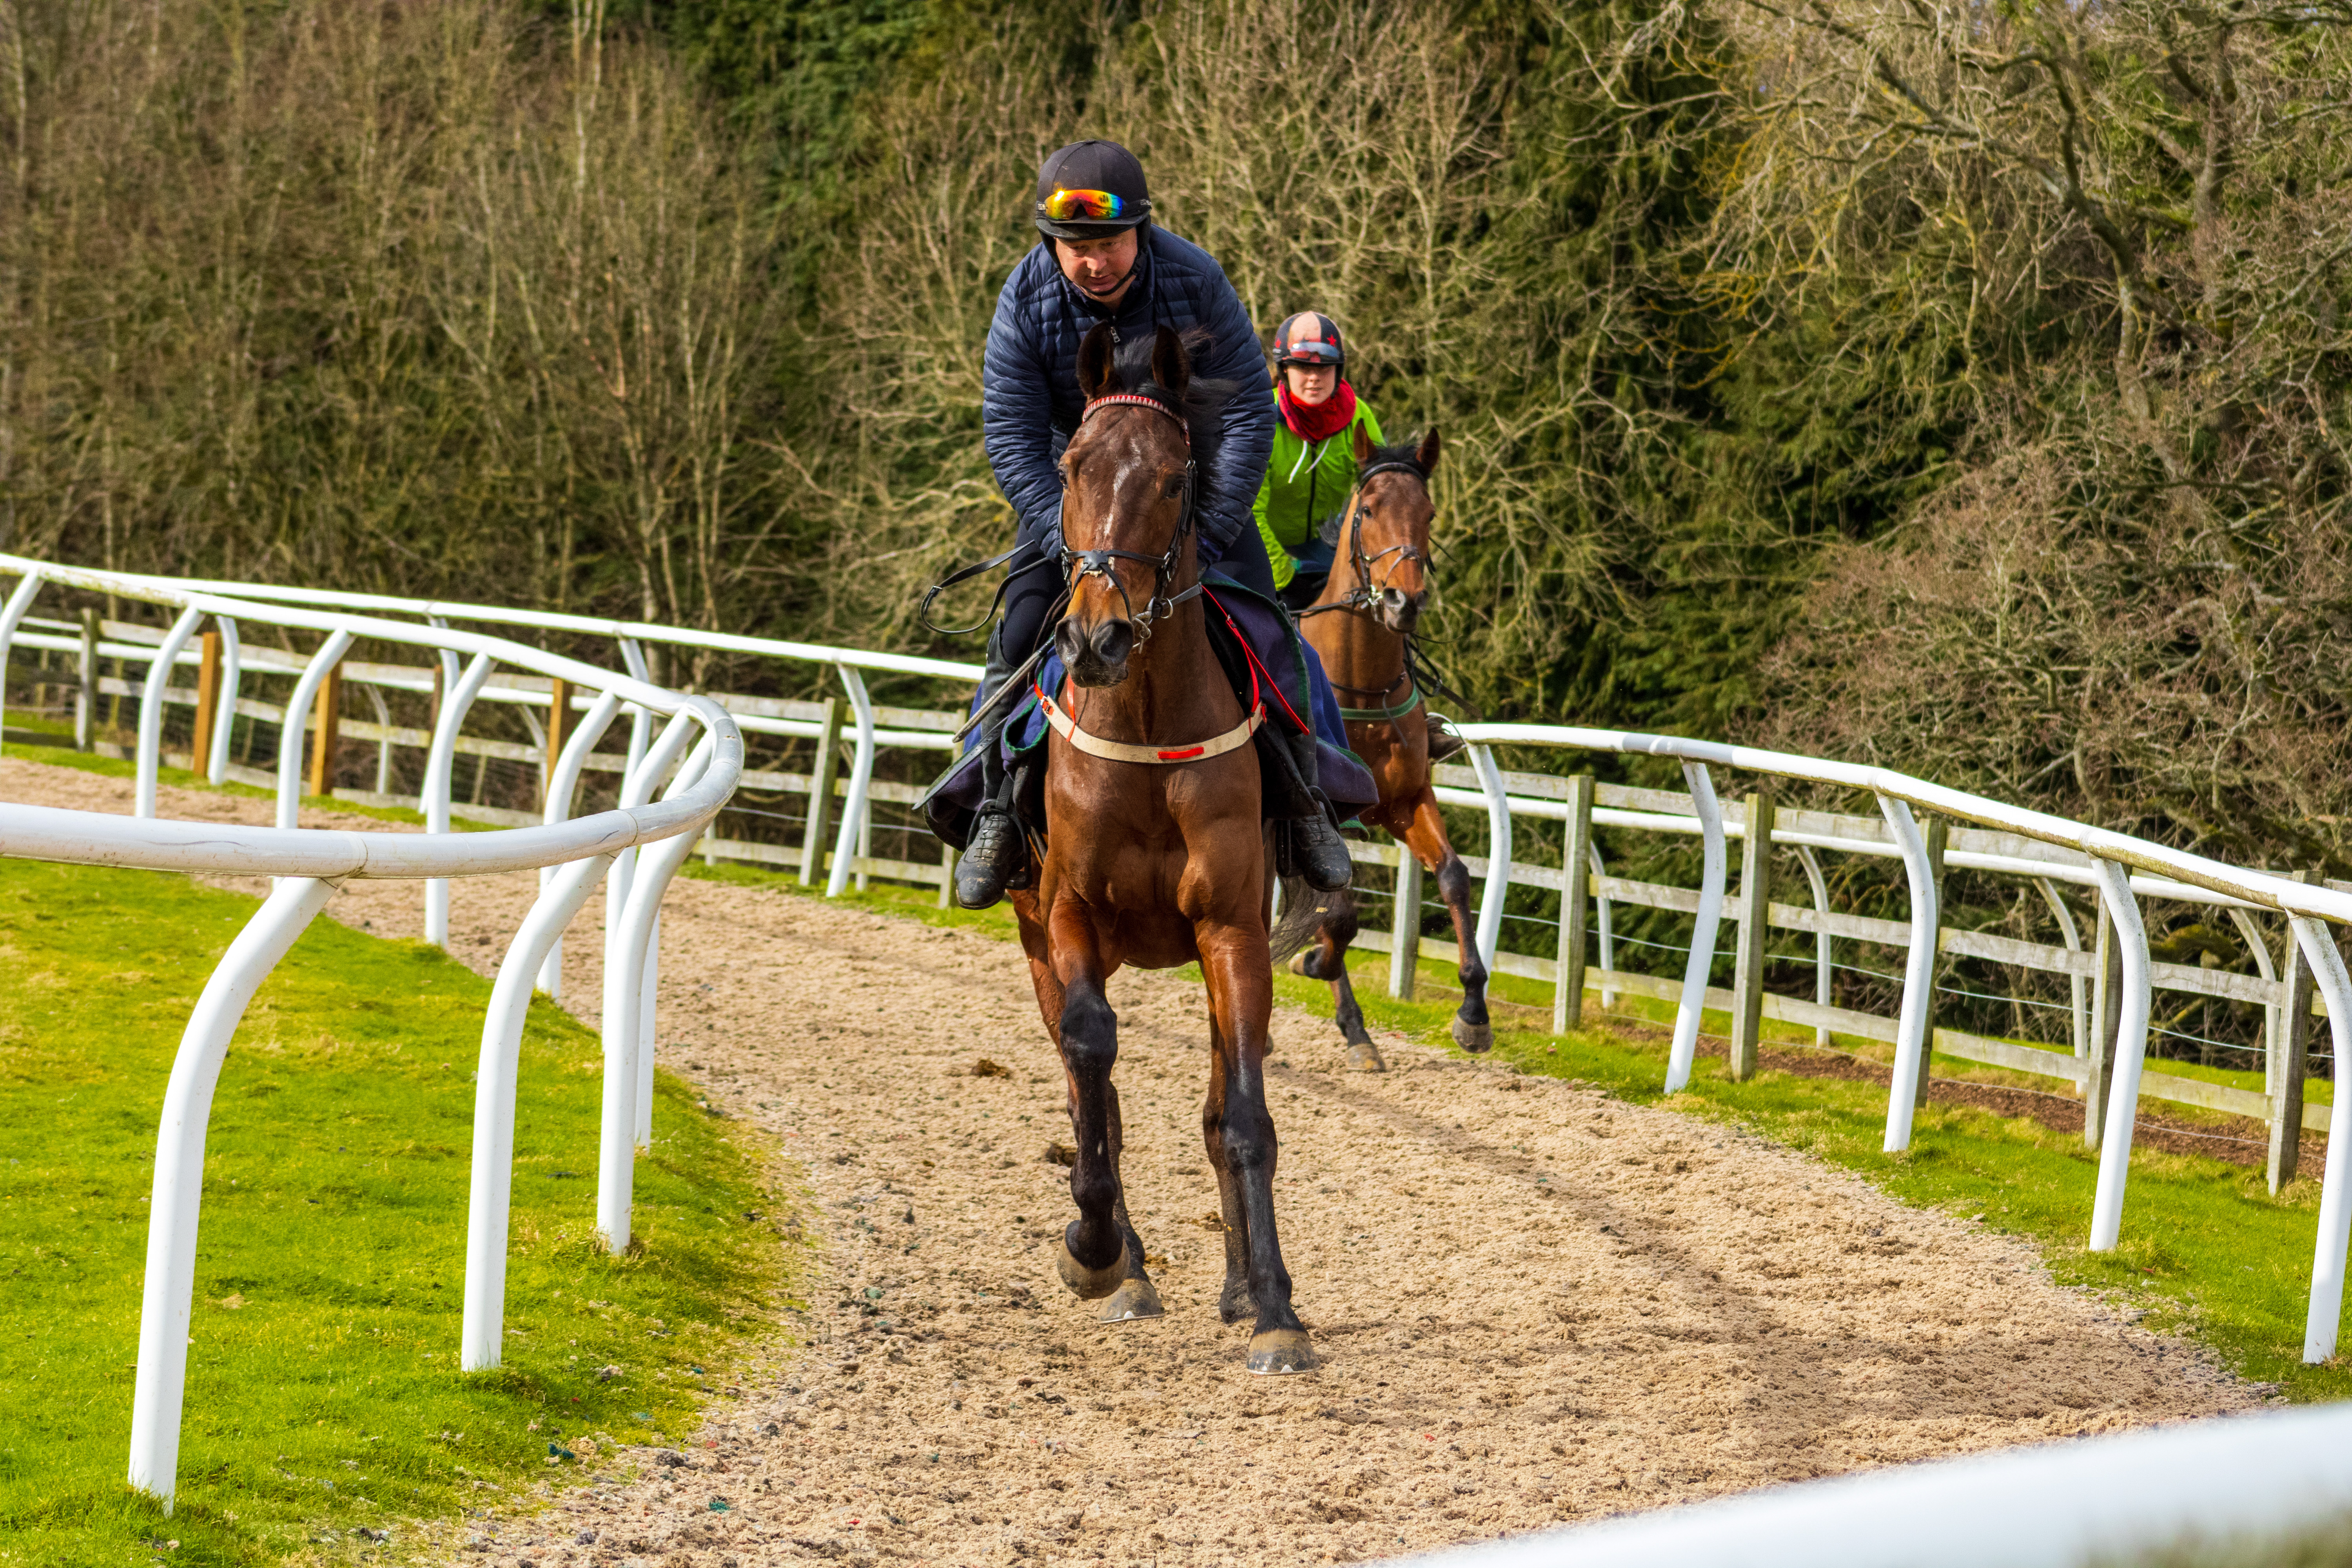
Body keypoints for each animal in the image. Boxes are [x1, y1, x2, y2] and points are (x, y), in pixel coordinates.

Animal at [1002, 322, 1317, 1373]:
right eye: (1071, 465)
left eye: (1177, 478)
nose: (1097, 638)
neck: (1141, 725)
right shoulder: (1066, 915)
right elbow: (1094, 1063)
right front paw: (1095, 1247)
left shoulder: (1233, 930)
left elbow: (1244, 1116)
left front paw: (1274, 1306)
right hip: (1033, 933)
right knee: (1084, 1084)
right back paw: (1126, 1264)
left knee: (1217, 1106)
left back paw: (1242, 1284)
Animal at [1289, 425, 1486, 1067]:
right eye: (1370, 509)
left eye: (1429, 513)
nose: (1405, 601)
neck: (1360, 686)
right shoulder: (1327, 815)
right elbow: (1340, 910)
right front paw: (1316, 961)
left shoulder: (1405, 800)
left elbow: (1454, 876)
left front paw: (1473, 1011)